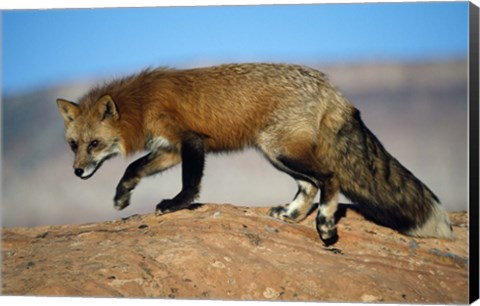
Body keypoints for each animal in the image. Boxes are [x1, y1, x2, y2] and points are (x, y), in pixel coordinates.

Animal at [57, 63, 454, 245]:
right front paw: (122, 197)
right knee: (309, 185)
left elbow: (190, 184)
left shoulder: (191, 141)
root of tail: (328, 84)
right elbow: (134, 170)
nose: (76, 172)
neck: (142, 103)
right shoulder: (169, 150)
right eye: (74, 145)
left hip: (280, 148)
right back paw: (291, 215)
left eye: (94, 145)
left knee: (329, 178)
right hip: (275, 152)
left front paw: (177, 205)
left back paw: (324, 224)